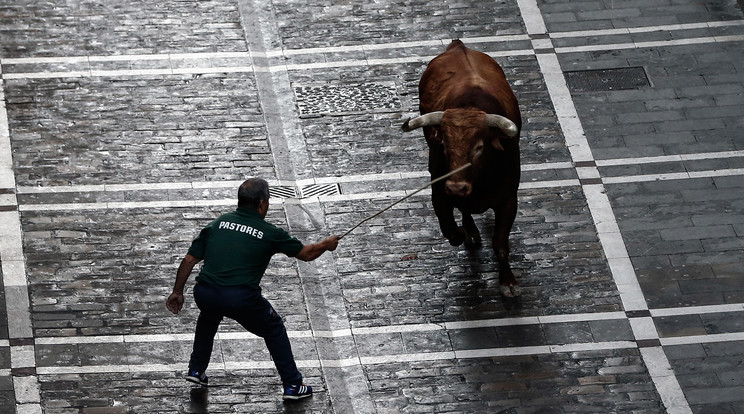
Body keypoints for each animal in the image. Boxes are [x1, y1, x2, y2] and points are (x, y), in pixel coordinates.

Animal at [404, 39, 520, 298]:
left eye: (480, 146)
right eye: (444, 146)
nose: (457, 187)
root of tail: (459, 46)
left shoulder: (509, 199)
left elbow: (500, 243)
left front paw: (508, 282)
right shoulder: (439, 193)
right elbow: (450, 231)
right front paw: (464, 233)